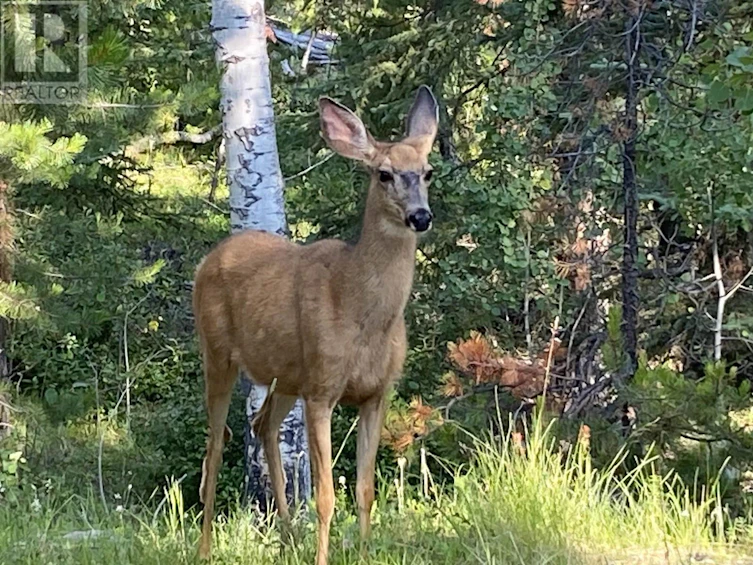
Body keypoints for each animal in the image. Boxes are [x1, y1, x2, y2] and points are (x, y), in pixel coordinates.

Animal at [193, 85, 438, 565]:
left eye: (427, 172)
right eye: (384, 174)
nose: (420, 216)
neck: (363, 315)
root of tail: (208, 258)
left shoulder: (376, 393)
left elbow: (365, 489)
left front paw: (363, 554)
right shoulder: (323, 388)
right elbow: (325, 496)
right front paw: (324, 556)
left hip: (286, 376)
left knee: (262, 425)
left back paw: (288, 538)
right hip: (218, 352)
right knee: (215, 444)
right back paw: (204, 548)